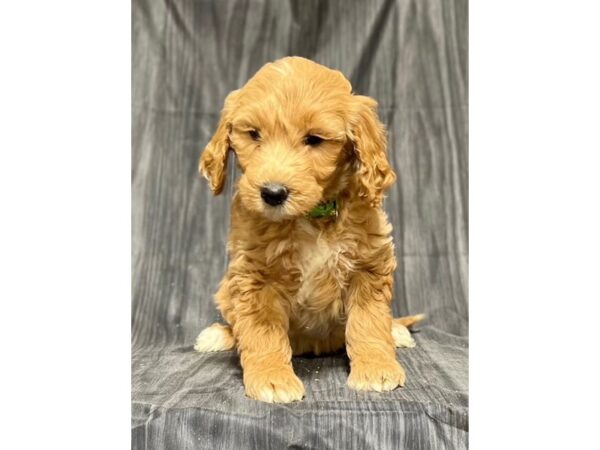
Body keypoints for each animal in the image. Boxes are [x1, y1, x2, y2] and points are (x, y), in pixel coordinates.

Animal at [195, 57, 424, 404]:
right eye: (253, 134)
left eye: (314, 140)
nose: (272, 193)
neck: (310, 217)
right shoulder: (253, 276)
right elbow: (261, 332)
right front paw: (272, 378)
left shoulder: (369, 264)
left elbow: (369, 323)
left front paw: (376, 368)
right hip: (225, 289)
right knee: (234, 323)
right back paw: (218, 335)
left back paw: (396, 331)